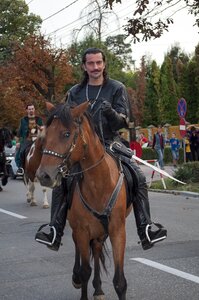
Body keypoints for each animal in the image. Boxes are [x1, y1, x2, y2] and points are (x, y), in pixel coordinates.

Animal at [36, 102, 132, 300]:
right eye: (45, 136)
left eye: (66, 134)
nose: (43, 175)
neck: (99, 183)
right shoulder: (81, 230)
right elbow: (85, 270)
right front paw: (81, 282)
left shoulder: (117, 230)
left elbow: (119, 281)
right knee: (80, 251)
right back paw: (77, 278)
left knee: (96, 248)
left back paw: (98, 289)